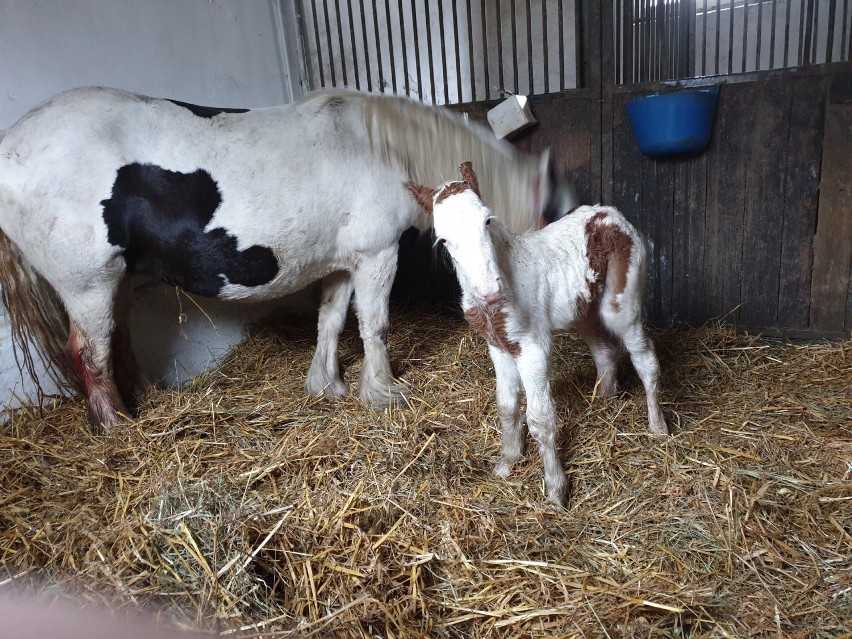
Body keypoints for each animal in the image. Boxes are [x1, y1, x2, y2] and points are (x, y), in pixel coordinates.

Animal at [0, 86, 576, 430]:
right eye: (550, 215)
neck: (379, 148)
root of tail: (11, 147)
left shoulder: (343, 265)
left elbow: (331, 322)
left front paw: (328, 385)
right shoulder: (376, 256)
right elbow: (374, 326)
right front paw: (383, 391)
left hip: (115, 281)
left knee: (119, 342)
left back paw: (150, 401)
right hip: (88, 286)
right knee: (90, 354)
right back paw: (120, 426)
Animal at [410, 162, 668, 508]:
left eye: (487, 221)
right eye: (443, 240)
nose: (489, 291)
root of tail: (610, 213)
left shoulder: (532, 346)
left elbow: (541, 419)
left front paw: (556, 491)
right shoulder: (498, 345)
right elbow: (506, 405)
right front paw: (506, 463)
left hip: (621, 305)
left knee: (644, 358)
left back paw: (658, 426)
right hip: (583, 309)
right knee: (604, 350)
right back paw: (604, 399)